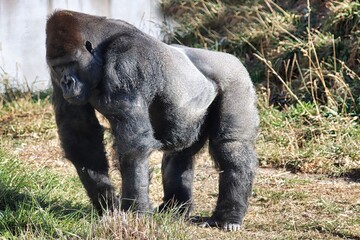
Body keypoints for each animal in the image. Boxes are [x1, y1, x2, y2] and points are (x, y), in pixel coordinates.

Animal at [45, 10, 258, 232]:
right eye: (58, 67)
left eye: (72, 63)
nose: (66, 82)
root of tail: (232, 58)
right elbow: (81, 135)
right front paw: (107, 203)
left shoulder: (126, 61)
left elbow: (133, 148)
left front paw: (135, 211)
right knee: (179, 154)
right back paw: (175, 207)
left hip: (236, 78)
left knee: (231, 147)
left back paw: (228, 215)